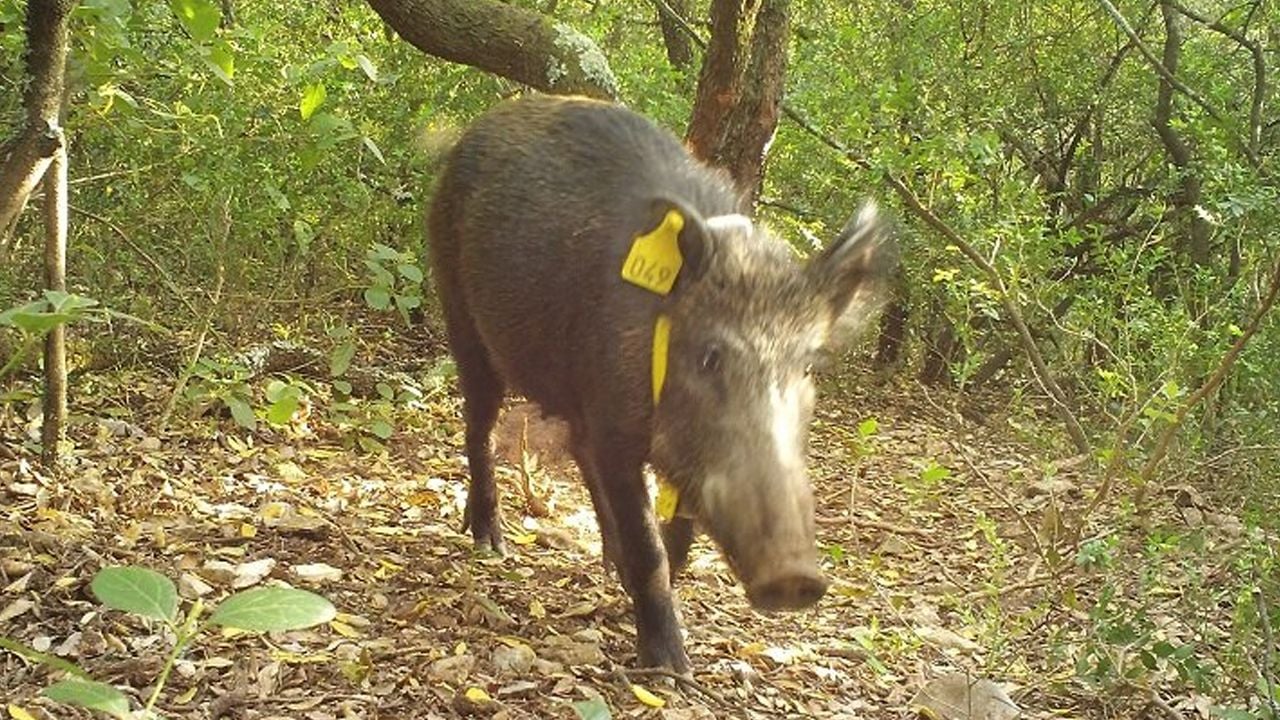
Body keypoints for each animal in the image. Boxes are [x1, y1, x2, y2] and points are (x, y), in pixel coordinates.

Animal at [427, 94, 895, 672]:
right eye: (710, 356)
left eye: (808, 367)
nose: (795, 576)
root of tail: (471, 133)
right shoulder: (617, 426)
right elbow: (649, 545)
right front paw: (671, 670)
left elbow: (677, 537)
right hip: (461, 312)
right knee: (479, 426)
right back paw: (490, 543)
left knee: (573, 448)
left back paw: (605, 564)